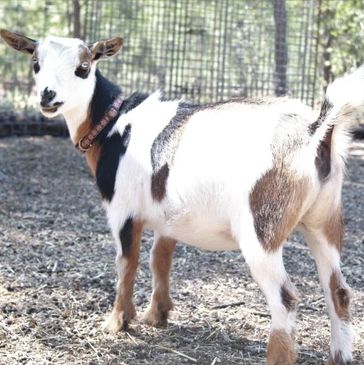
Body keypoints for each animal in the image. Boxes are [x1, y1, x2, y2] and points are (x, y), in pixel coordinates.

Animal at [0, 29, 358, 364]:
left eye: (83, 67)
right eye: (36, 63)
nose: (48, 95)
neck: (113, 125)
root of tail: (315, 131)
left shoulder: (122, 210)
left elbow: (127, 262)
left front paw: (117, 321)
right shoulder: (167, 215)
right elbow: (160, 257)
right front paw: (157, 314)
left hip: (262, 229)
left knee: (285, 299)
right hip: (324, 221)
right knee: (339, 291)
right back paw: (339, 356)